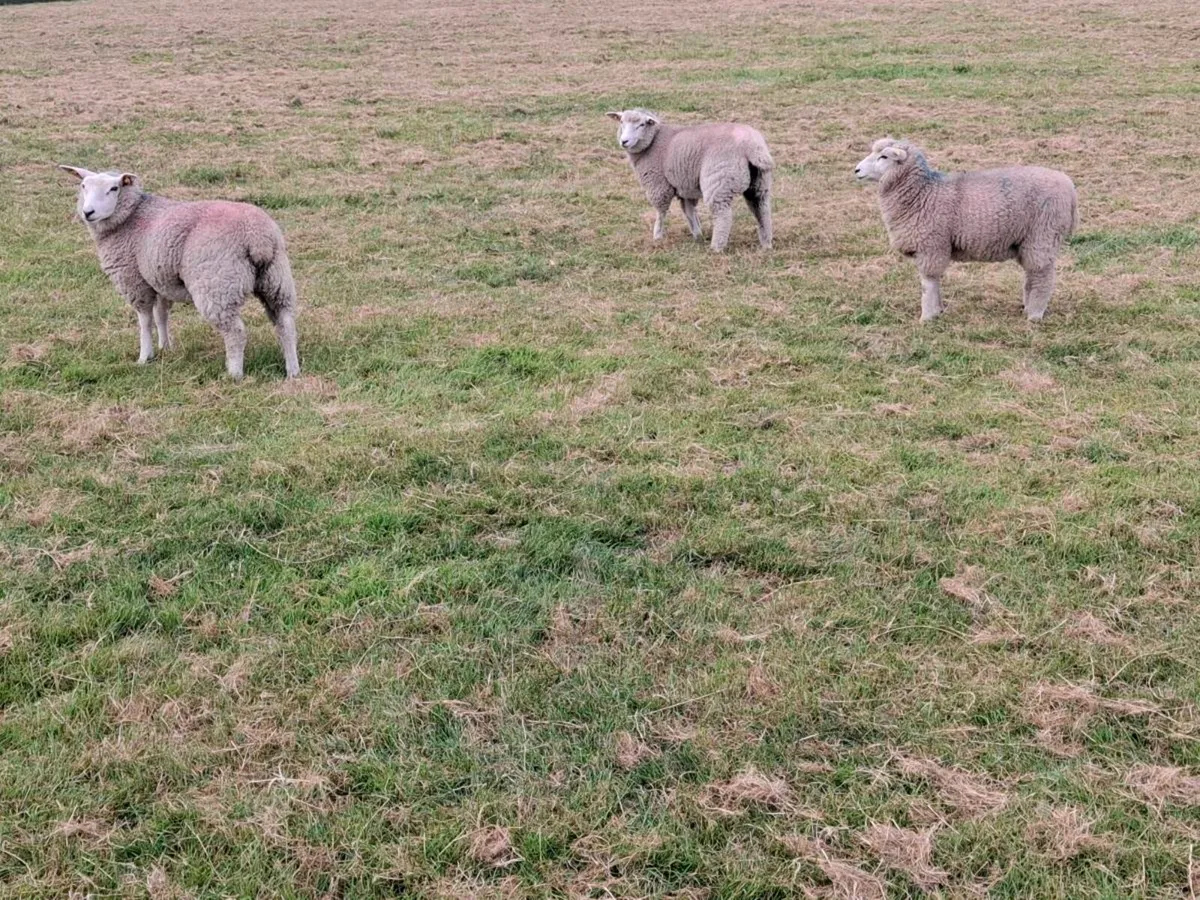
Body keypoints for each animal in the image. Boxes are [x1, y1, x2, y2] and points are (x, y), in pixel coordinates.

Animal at [59, 165, 300, 379]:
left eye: (114, 188)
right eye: (83, 186)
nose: (88, 212)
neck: (130, 217)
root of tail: (257, 237)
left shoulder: (134, 281)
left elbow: (145, 320)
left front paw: (145, 357)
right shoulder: (160, 279)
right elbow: (161, 315)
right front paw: (166, 347)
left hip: (217, 284)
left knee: (236, 332)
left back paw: (234, 374)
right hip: (276, 279)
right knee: (286, 324)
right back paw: (292, 370)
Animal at [606, 109, 774, 252]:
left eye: (641, 124)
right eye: (621, 122)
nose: (624, 141)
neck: (654, 141)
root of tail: (752, 147)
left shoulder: (659, 184)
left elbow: (661, 211)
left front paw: (657, 235)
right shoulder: (685, 184)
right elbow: (689, 210)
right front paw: (697, 235)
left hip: (719, 181)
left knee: (723, 215)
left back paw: (716, 247)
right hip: (760, 182)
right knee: (762, 208)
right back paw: (766, 243)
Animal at [854, 138, 1078, 322]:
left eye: (884, 156)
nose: (856, 170)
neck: (924, 192)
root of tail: (1070, 187)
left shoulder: (931, 244)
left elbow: (928, 283)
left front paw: (927, 316)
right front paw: (938, 310)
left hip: (1043, 233)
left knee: (1042, 276)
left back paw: (1034, 315)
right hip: (1033, 239)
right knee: (1032, 274)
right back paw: (1027, 306)